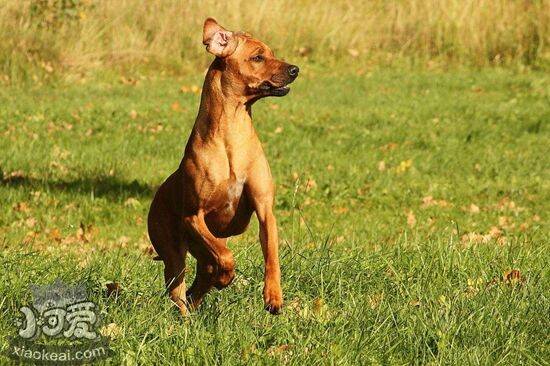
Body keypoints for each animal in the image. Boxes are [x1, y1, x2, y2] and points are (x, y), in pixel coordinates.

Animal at [149, 17, 300, 314]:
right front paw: (227, 275)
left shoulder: (265, 209)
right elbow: (225, 254)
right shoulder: (194, 216)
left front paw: (273, 296)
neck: (232, 134)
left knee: (202, 276)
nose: (294, 69)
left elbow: (272, 256)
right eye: (258, 57)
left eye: (272, 53)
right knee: (179, 288)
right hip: (173, 253)